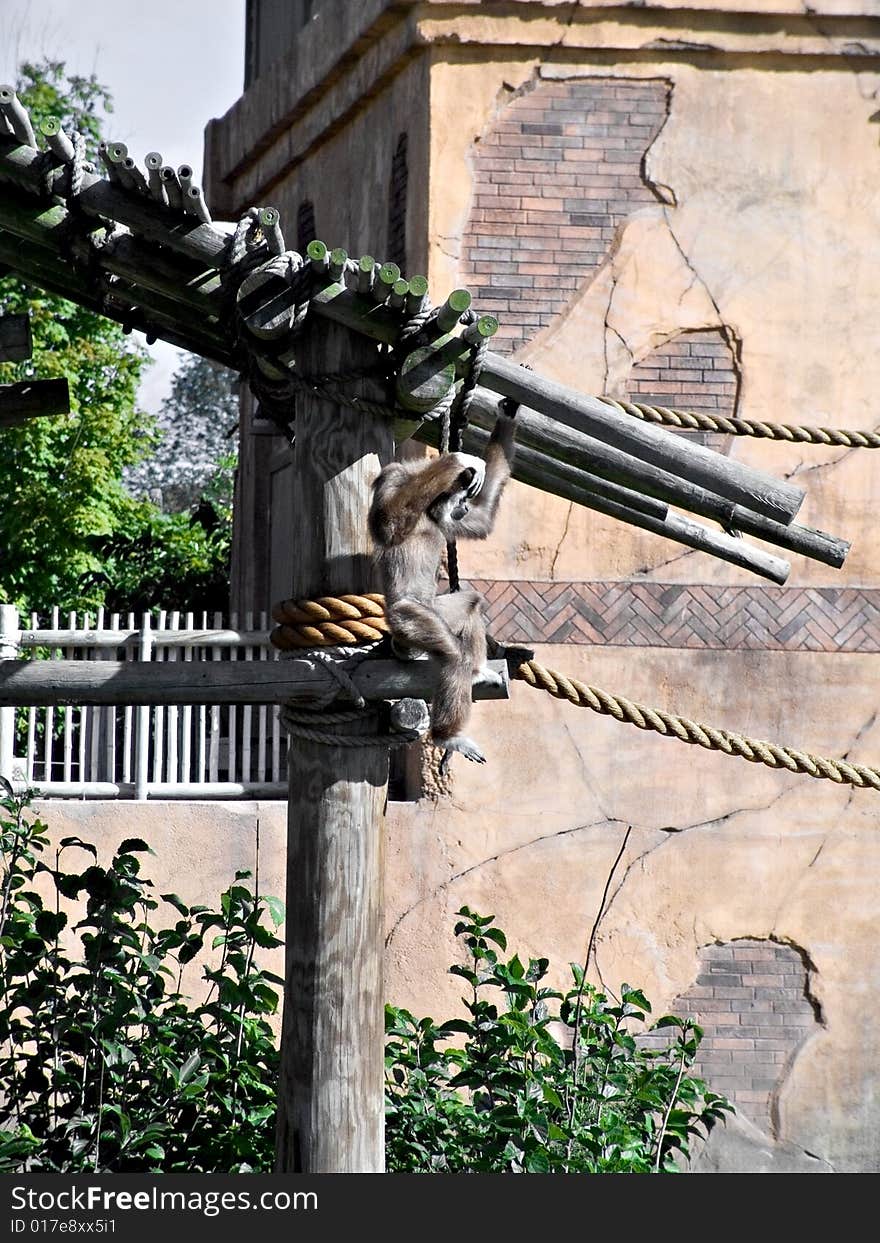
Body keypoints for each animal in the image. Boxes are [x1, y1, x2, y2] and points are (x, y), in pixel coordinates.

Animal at [370, 412, 519, 770]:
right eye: (461, 498)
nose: (461, 507)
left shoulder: (443, 517)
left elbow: (481, 522)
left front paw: (509, 412)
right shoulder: (392, 476)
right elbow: (388, 523)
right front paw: (459, 462)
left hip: (435, 610)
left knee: (471, 603)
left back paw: (476, 673)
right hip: (409, 618)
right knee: (452, 655)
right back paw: (446, 736)